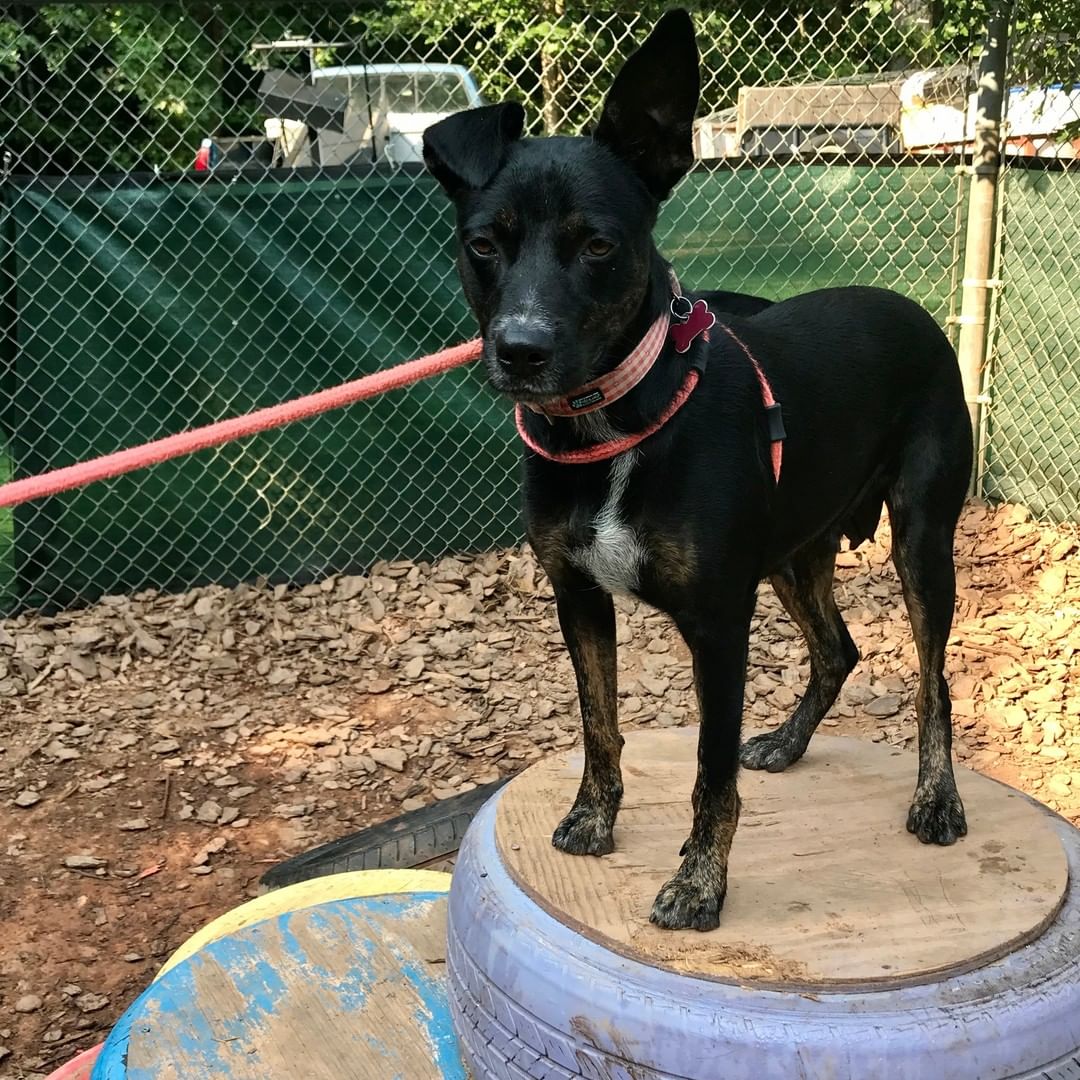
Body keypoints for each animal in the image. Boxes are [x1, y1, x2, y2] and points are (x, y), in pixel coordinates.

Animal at [421, 8, 972, 928]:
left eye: (599, 244)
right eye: (482, 245)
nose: (521, 351)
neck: (612, 424)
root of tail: (915, 310)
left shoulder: (719, 622)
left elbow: (709, 773)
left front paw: (697, 884)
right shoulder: (578, 596)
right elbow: (598, 724)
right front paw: (592, 818)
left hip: (921, 541)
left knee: (933, 681)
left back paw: (937, 800)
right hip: (794, 550)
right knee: (839, 649)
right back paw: (788, 741)